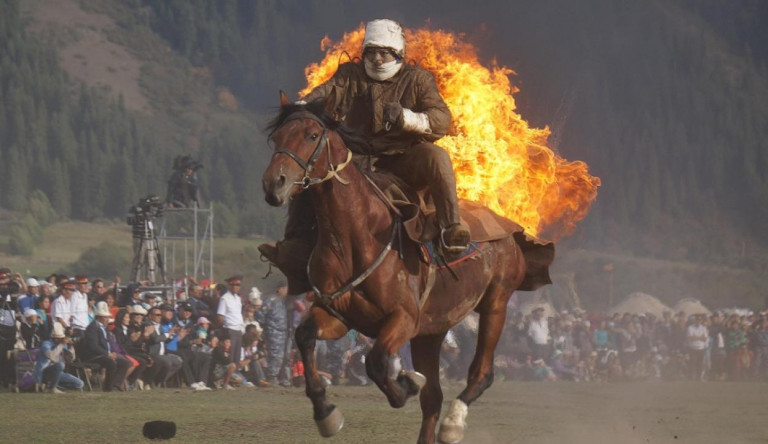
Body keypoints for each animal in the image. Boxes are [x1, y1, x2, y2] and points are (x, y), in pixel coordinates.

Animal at [262, 91, 552, 444]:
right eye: (278, 136)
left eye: (312, 135)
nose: (274, 184)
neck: (355, 238)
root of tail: (509, 231)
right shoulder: (339, 315)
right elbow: (304, 337)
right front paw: (326, 412)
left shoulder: (403, 318)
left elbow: (375, 361)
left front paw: (404, 384)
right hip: (432, 330)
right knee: (434, 398)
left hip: (495, 304)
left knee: (481, 373)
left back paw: (453, 423)